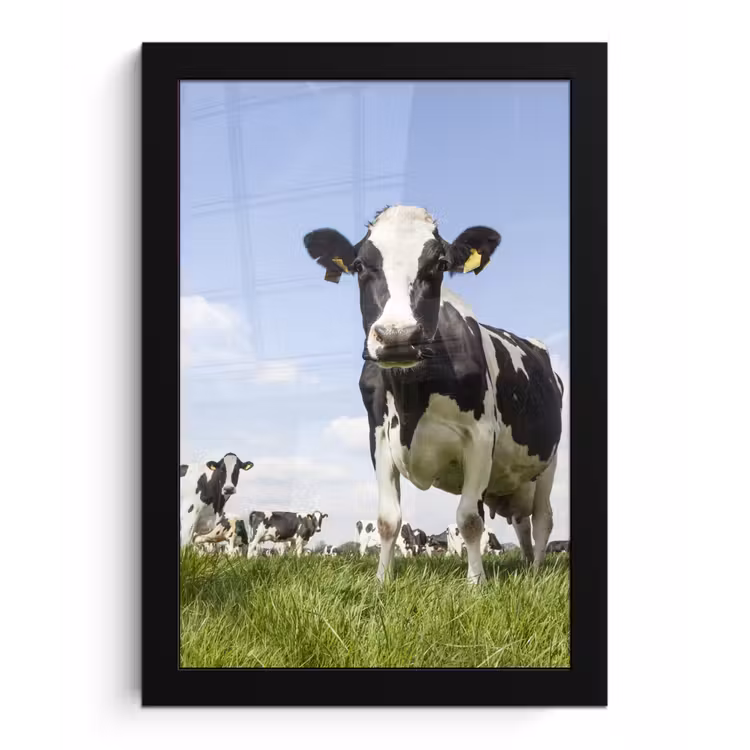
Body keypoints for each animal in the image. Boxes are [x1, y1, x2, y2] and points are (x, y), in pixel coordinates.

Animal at [304, 205, 563, 584]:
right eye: (360, 265)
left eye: (439, 264)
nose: (397, 336)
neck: (413, 396)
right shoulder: (379, 436)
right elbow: (388, 519)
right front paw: (382, 581)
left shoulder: (481, 437)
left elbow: (469, 519)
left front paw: (476, 582)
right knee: (522, 523)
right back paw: (528, 565)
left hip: (549, 462)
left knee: (543, 519)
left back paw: (536, 572)